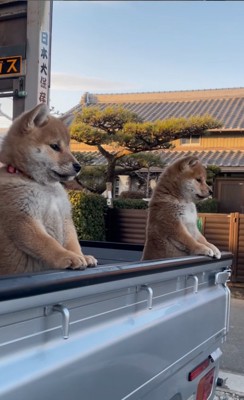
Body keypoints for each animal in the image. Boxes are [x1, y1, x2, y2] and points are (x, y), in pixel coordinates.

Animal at [0, 104, 97, 276]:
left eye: (68, 147)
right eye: (55, 146)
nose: (78, 166)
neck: (43, 185)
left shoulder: (65, 217)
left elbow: (73, 242)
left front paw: (81, 255)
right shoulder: (22, 217)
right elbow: (48, 243)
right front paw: (68, 257)